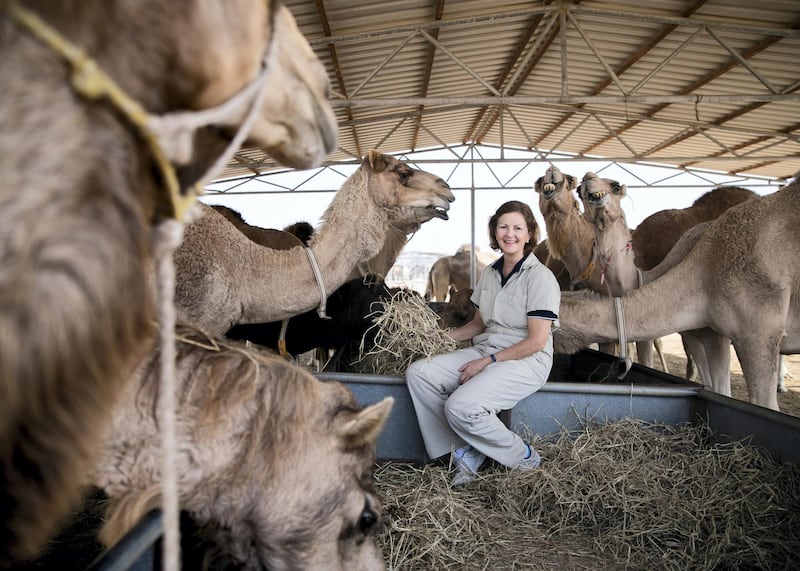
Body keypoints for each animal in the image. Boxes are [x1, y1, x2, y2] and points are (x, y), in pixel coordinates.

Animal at [552, 179, 800, 412]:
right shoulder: (701, 333)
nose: (586, 183)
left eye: (614, 186)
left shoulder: (754, 334)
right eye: (579, 190)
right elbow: (715, 387)